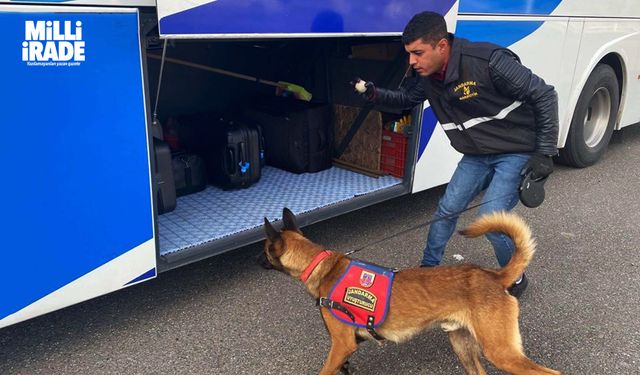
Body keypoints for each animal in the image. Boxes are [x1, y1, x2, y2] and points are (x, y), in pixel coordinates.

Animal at [258, 209, 560, 375]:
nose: (257, 262)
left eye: (263, 250)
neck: (320, 264)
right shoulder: (344, 349)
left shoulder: (341, 345)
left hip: (500, 351)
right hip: (464, 346)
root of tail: (493, 275)